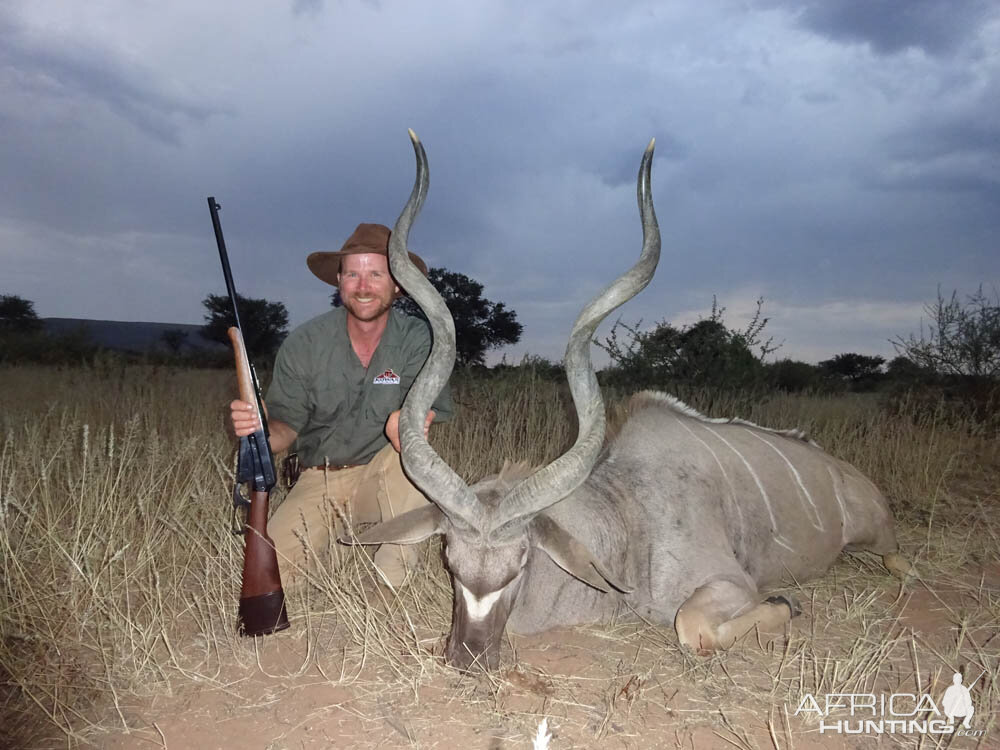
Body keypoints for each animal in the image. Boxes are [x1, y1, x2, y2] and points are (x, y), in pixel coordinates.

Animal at [348, 132, 912, 672]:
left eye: (522, 562)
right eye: (449, 559)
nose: (468, 657)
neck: (629, 521)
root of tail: (847, 475)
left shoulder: (729, 583)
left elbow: (693, 626)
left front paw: (785, 604)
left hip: (880, 538)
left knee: (898, 560)